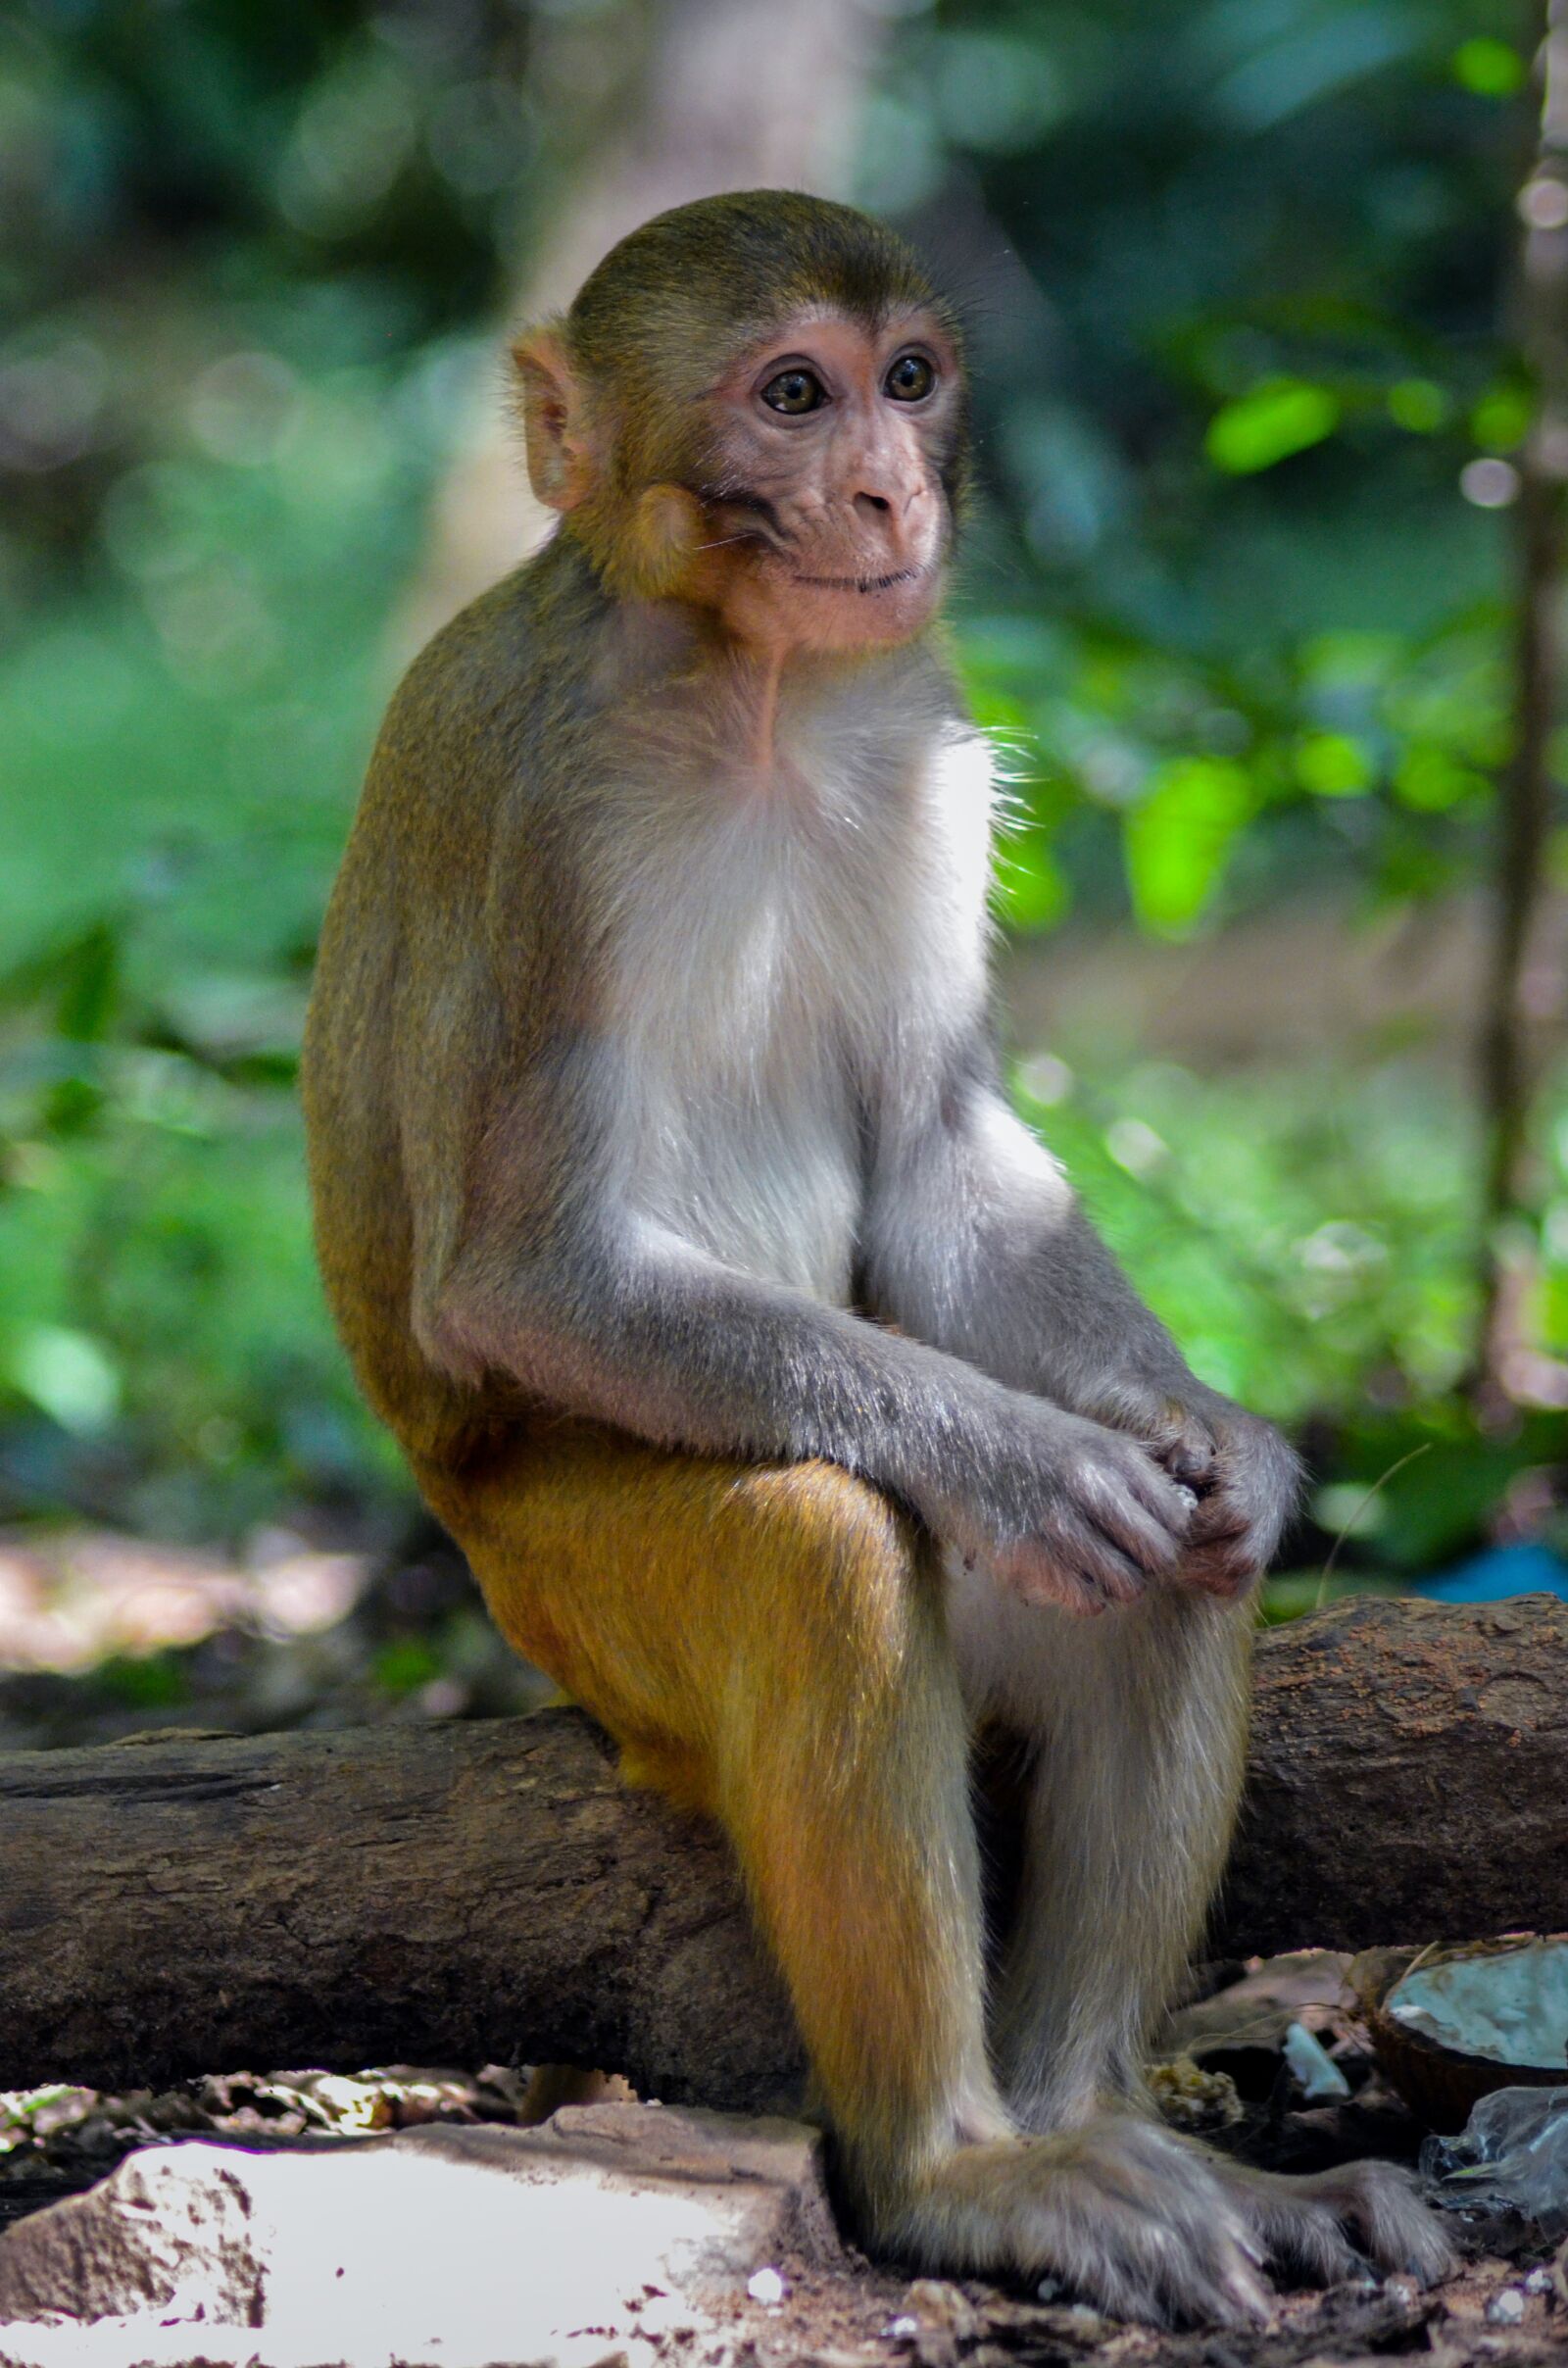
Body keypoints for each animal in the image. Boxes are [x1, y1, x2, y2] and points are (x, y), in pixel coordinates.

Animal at [301, 191, 1452, 2324]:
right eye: (791, 394)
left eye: (908, 378)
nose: (886, 490)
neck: (745, 686)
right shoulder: (533, 807)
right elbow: (516, 1275)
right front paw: (1023, 1453)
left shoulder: (916, 728)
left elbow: (936, 1161)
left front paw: (1201, 1434)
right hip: (574, 1612)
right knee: (815, 1550)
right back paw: (964, 2168)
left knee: (1163, 1587)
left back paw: (1105, 2113)